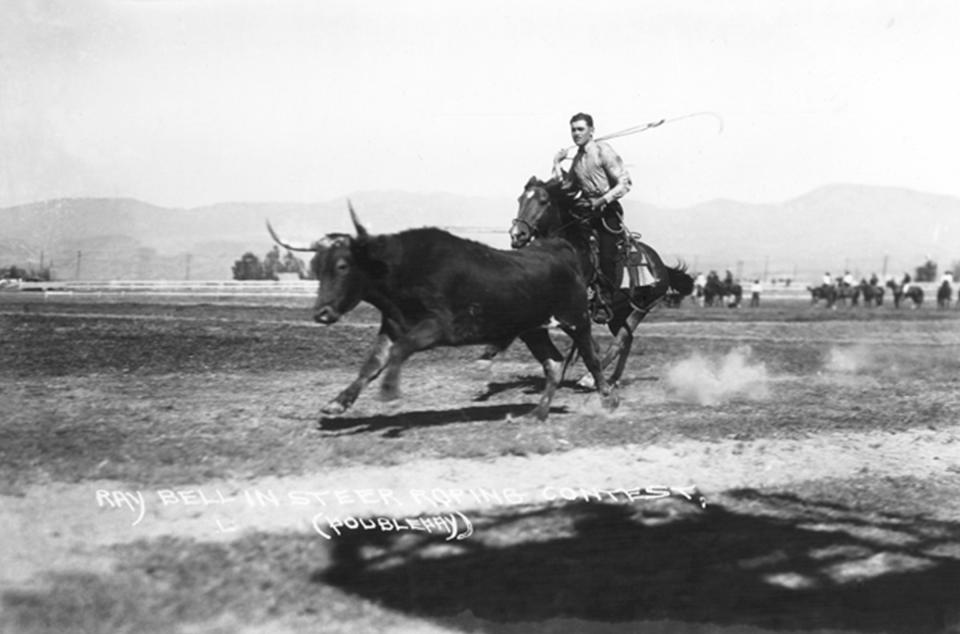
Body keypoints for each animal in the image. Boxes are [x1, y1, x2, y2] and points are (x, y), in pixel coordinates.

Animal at [506, 177, 692, 386]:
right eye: (520, 199)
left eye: (543, 201)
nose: (517, 234)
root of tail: (660, 265)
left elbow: (587, 343)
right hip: (619, 312)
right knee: (628, 339)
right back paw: (613, 378)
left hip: (641, 307)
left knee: (621, 340)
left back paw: (589, 378)